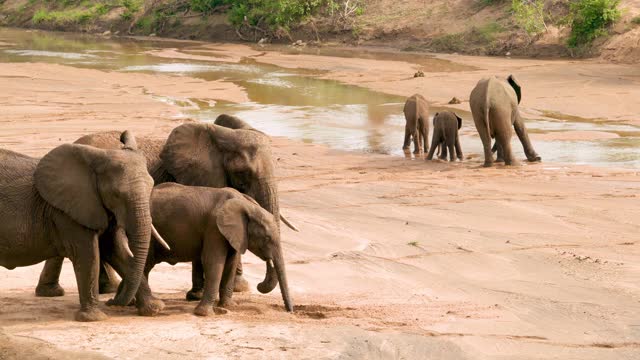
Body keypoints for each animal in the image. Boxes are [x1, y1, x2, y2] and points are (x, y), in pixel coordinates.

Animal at [1, 131, 165, 320]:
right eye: (116, 194)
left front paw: (155, 309)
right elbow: (88, 253)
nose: (112, 302)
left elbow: (115, 251)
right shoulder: (67, 210)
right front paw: (94, 318)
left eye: (152, 186)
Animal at [34, 114, 296, 300]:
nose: (262, 285)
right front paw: (231, 289)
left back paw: (102, 289)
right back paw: (57, 292)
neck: (219, 137)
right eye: (243, 173)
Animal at [105, 184, 296, 316]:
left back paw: (119, 303)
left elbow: (231, 263)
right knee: (143, 264)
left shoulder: (233, 234)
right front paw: (204, 314)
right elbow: (214, 262)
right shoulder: (214, 228)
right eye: (267, 239)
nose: (290, 311)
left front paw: (228, 307)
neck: (246, 206)